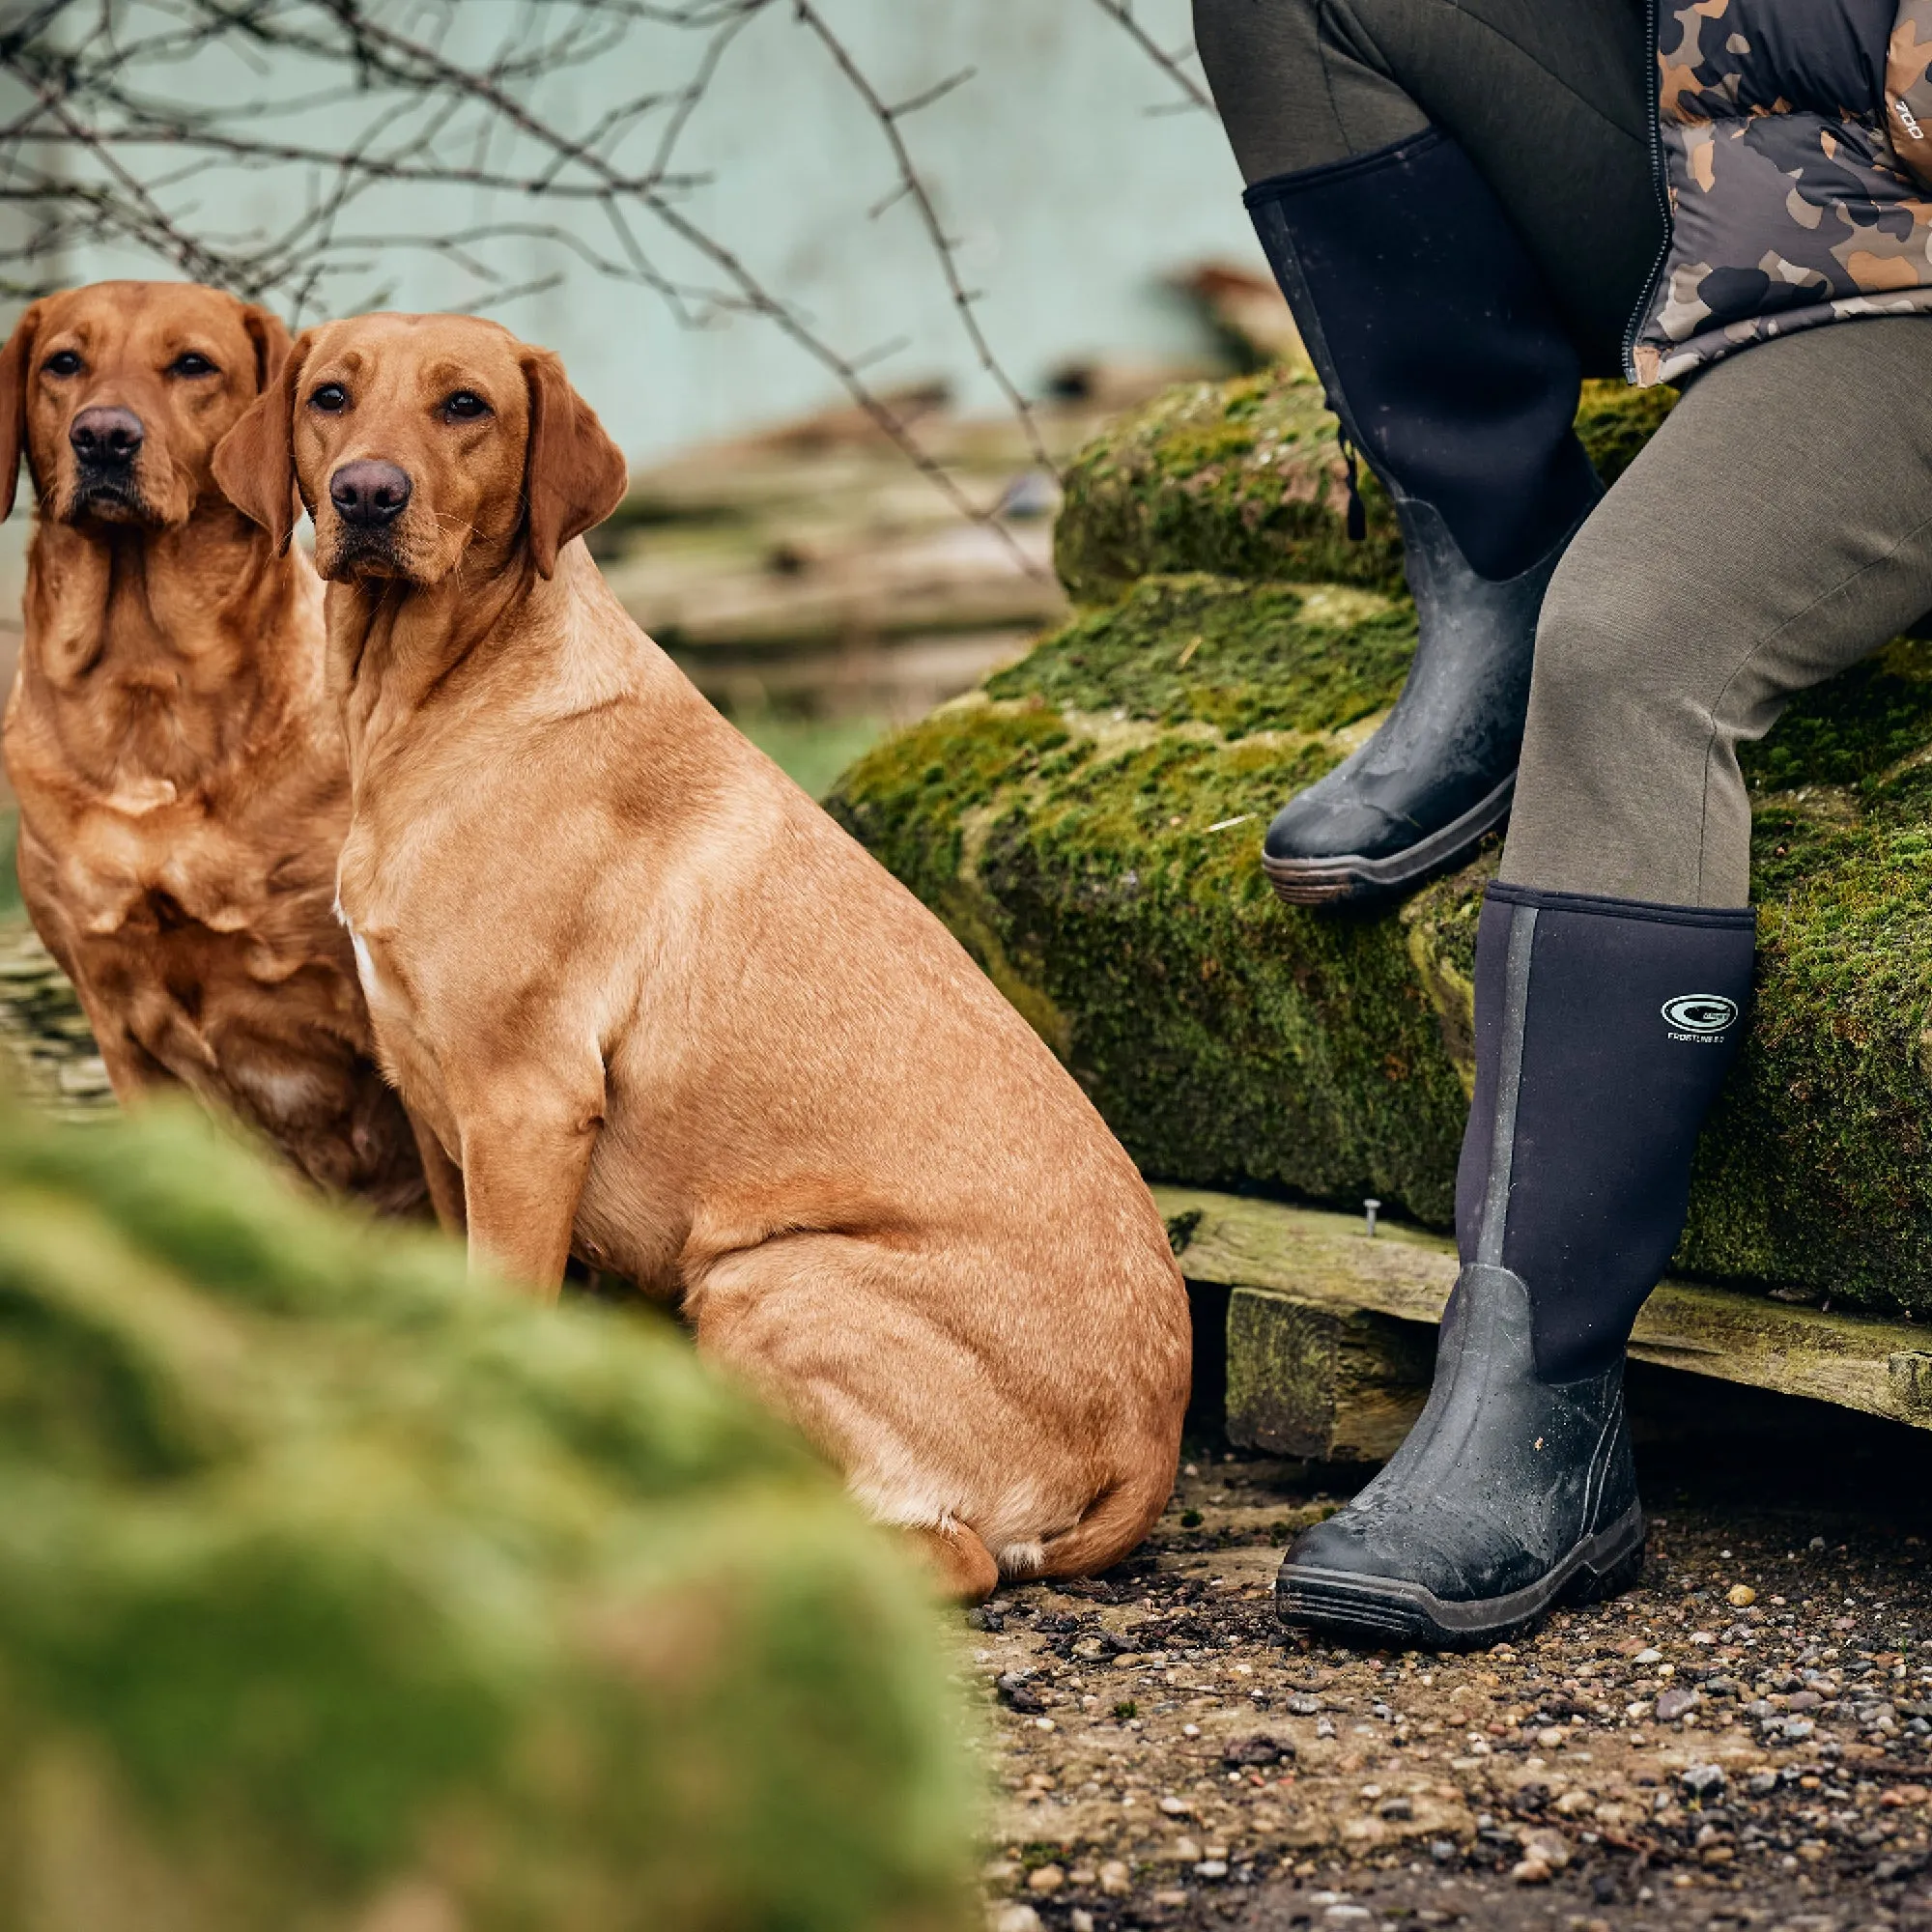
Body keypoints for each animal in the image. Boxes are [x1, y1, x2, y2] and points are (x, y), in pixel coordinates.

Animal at [208, 313, 1175, 1584]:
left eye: (466, 406)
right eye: (329, 396)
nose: (368, 495)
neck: (441, 697)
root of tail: (1148, 1445)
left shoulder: (525, 1110)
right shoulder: (434, 1108)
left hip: (763, 1274)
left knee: (941, 1551)